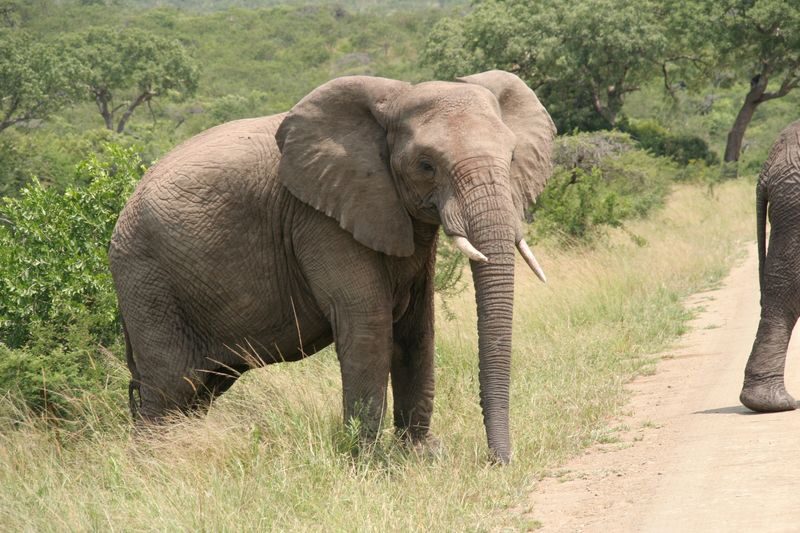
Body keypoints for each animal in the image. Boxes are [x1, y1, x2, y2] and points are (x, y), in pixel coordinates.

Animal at [109, 70, 556, 463]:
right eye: (426, 165)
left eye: (511, 157)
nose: (499, 462)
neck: (396, 99)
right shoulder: (319, 219)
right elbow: (368, 323)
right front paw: (371, 464)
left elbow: (417, 327)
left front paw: (420, 456)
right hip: (147, 282)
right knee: (168, 389)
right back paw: (154, 468)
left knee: (198, 392)